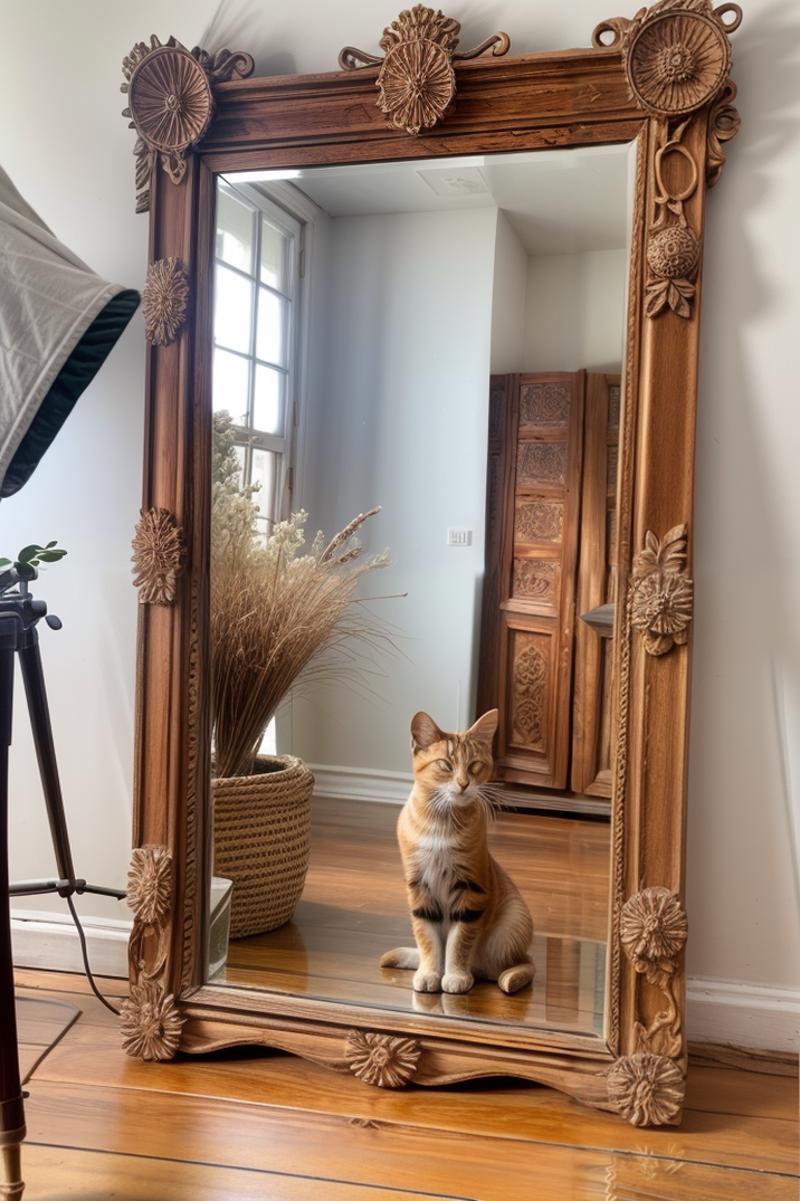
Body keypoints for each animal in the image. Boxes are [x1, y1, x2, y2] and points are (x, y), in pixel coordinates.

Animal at [379, 706, 533, 999]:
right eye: (445, 765)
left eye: (474, 766)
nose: (463, 784)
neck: (440, 824)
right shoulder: (419, 889)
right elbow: (428, 940)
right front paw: (430, 973)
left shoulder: (470, 891)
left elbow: (459, 942)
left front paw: (456, 976)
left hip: (512, 921)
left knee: (515, 965)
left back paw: (503, 976)